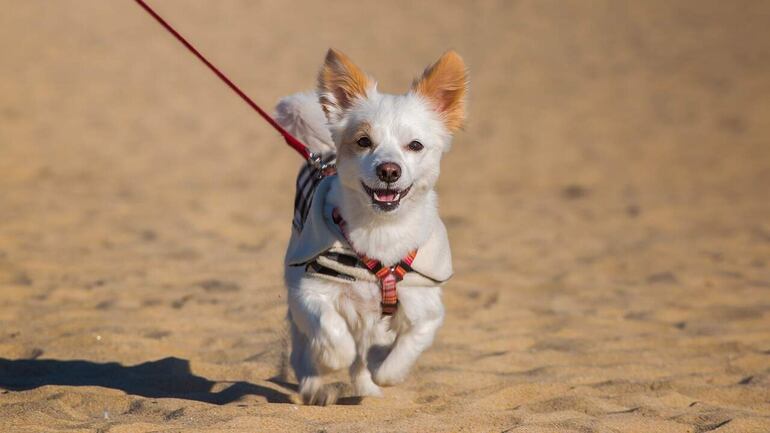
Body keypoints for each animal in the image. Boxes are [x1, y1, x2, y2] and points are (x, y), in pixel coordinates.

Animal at [276, 49, 468, 404]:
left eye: (415, 145)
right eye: (364, 141)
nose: (389, 170)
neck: (380, 231)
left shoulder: (427, 309)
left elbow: (399, 354)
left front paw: (383, 367)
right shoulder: (308, 292)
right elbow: (333, 334)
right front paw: (331, 357)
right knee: (303, 351)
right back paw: (314, 385)